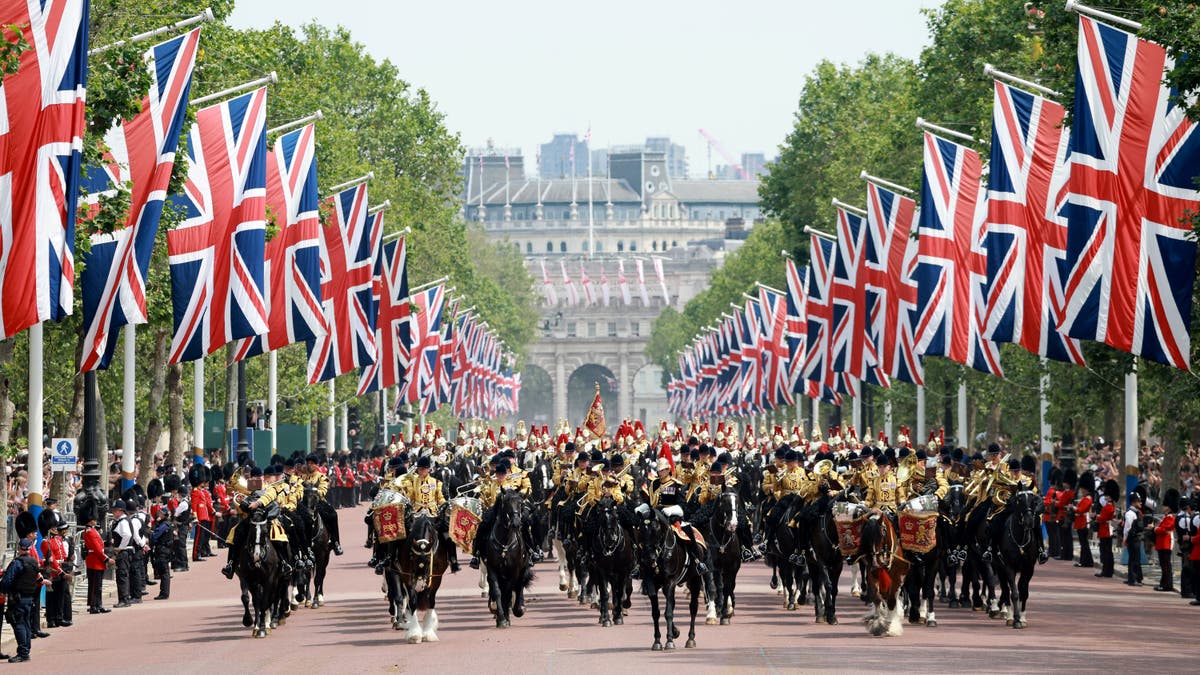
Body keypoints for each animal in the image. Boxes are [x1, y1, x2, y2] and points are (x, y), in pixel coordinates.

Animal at [482, 487, 535, 624]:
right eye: (505, 502)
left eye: (520, 503)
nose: (516, 523)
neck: (504, 543)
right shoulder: (492, 568)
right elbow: (497, 591)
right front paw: (501, 618)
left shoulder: (514, 570)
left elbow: (509, 591)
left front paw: (506, 615)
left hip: (523, 568)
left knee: (519, 585)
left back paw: (518, 609)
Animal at [588, 494, 638, 624]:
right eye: (600, 517)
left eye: (616, 516)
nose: (610, 539)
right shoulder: (601, 570)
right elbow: (605, 593)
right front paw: (606, 618)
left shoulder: (623, 570)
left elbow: (620, 592)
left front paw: (618, 616)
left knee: (619, 590)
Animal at [638, 504, 700, 648]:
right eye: (641, 530)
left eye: (655, 529)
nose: (648, 558)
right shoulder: (652, 584)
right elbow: (656, 613)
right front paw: (657, 641)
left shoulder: (670, 582)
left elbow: (668, 612)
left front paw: (669, 640)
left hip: (695, 580)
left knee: (693, 607)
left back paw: (691, 638)